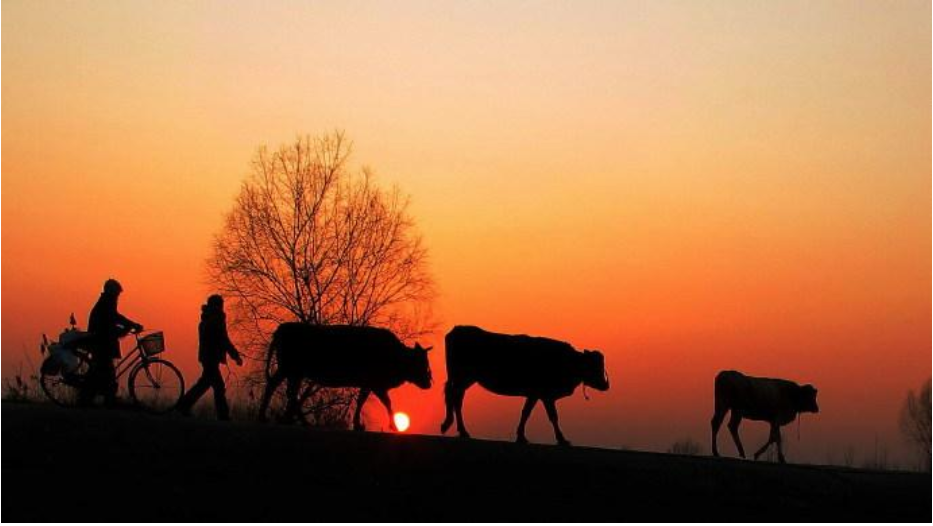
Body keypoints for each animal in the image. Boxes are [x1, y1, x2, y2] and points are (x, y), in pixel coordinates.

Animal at [258, 324, 434, 432]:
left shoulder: (368, 384)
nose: (429, 383)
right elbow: (387, 403)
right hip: (288, 369)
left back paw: (290, 420)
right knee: (275, 387)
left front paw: (358, 424)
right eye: (421, 363)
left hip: (294, 373)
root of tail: (282, 328)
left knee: (290, 393)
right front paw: (394, 426)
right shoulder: (376, 384)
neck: (396, 355)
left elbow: (362, 400)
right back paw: (269, 417)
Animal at [438, 328, 608, 448]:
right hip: (462, 378)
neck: (568, 361)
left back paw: (457, 428)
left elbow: (525, 413)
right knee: (455, 399)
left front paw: (521, 436)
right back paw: (460, 430)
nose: (605, 384)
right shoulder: (545, 395)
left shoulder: (534, 394)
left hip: (463, 380)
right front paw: (562, 439)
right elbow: (553, 416)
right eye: (594, 366)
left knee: (455, 398)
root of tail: (456, 330)